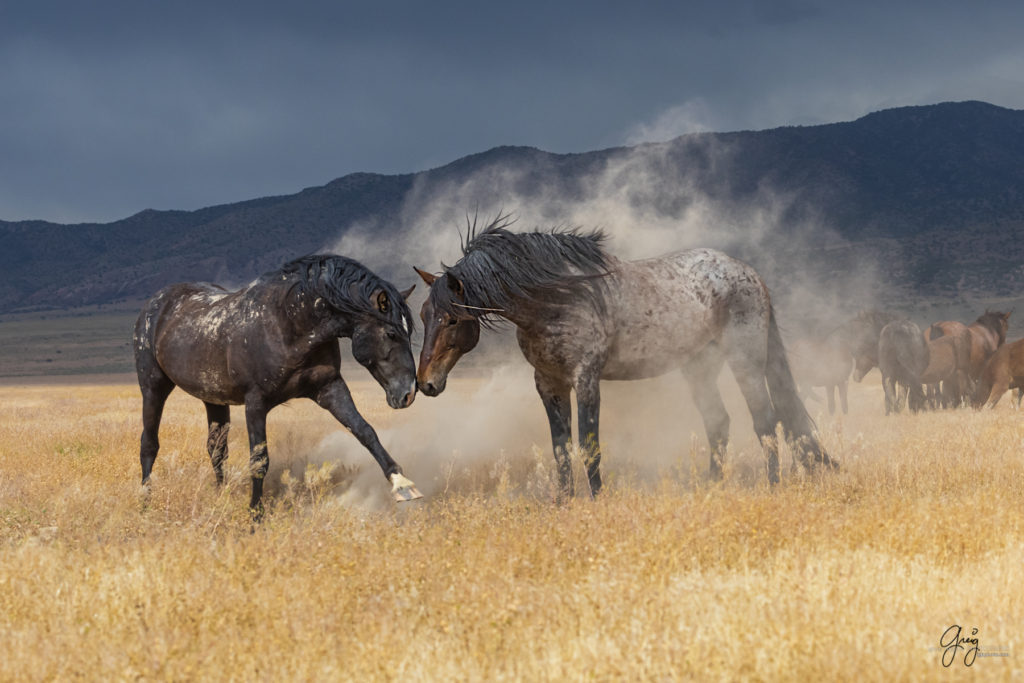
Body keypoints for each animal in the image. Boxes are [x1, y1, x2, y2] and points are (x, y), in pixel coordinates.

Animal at [134, 253, 421, 516]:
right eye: (391, 333)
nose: (408, 393)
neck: (288, 323)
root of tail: (156, 302)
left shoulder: (330, 388)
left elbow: (365, 431)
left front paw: (402, 484)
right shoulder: (255, 402)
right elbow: (259, 460)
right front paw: (255, 515)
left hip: (213, 398)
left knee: (216, 449)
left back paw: (221, 496)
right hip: (153, 387)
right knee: (149, 444)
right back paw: (145, 503)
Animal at [407, 215, 831, 497]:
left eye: (451, 319)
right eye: (424, 315)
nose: (425, 384)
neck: (553, 299)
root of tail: (751, 275)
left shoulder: (585, 379)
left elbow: (588, 444)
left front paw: (597, 500)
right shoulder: (549, 384)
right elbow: (560, 448)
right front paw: (564, 503)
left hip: (745, 363)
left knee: (766, 421)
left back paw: (773, 486)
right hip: (699, 369)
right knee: (719, 424)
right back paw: (711, 486)